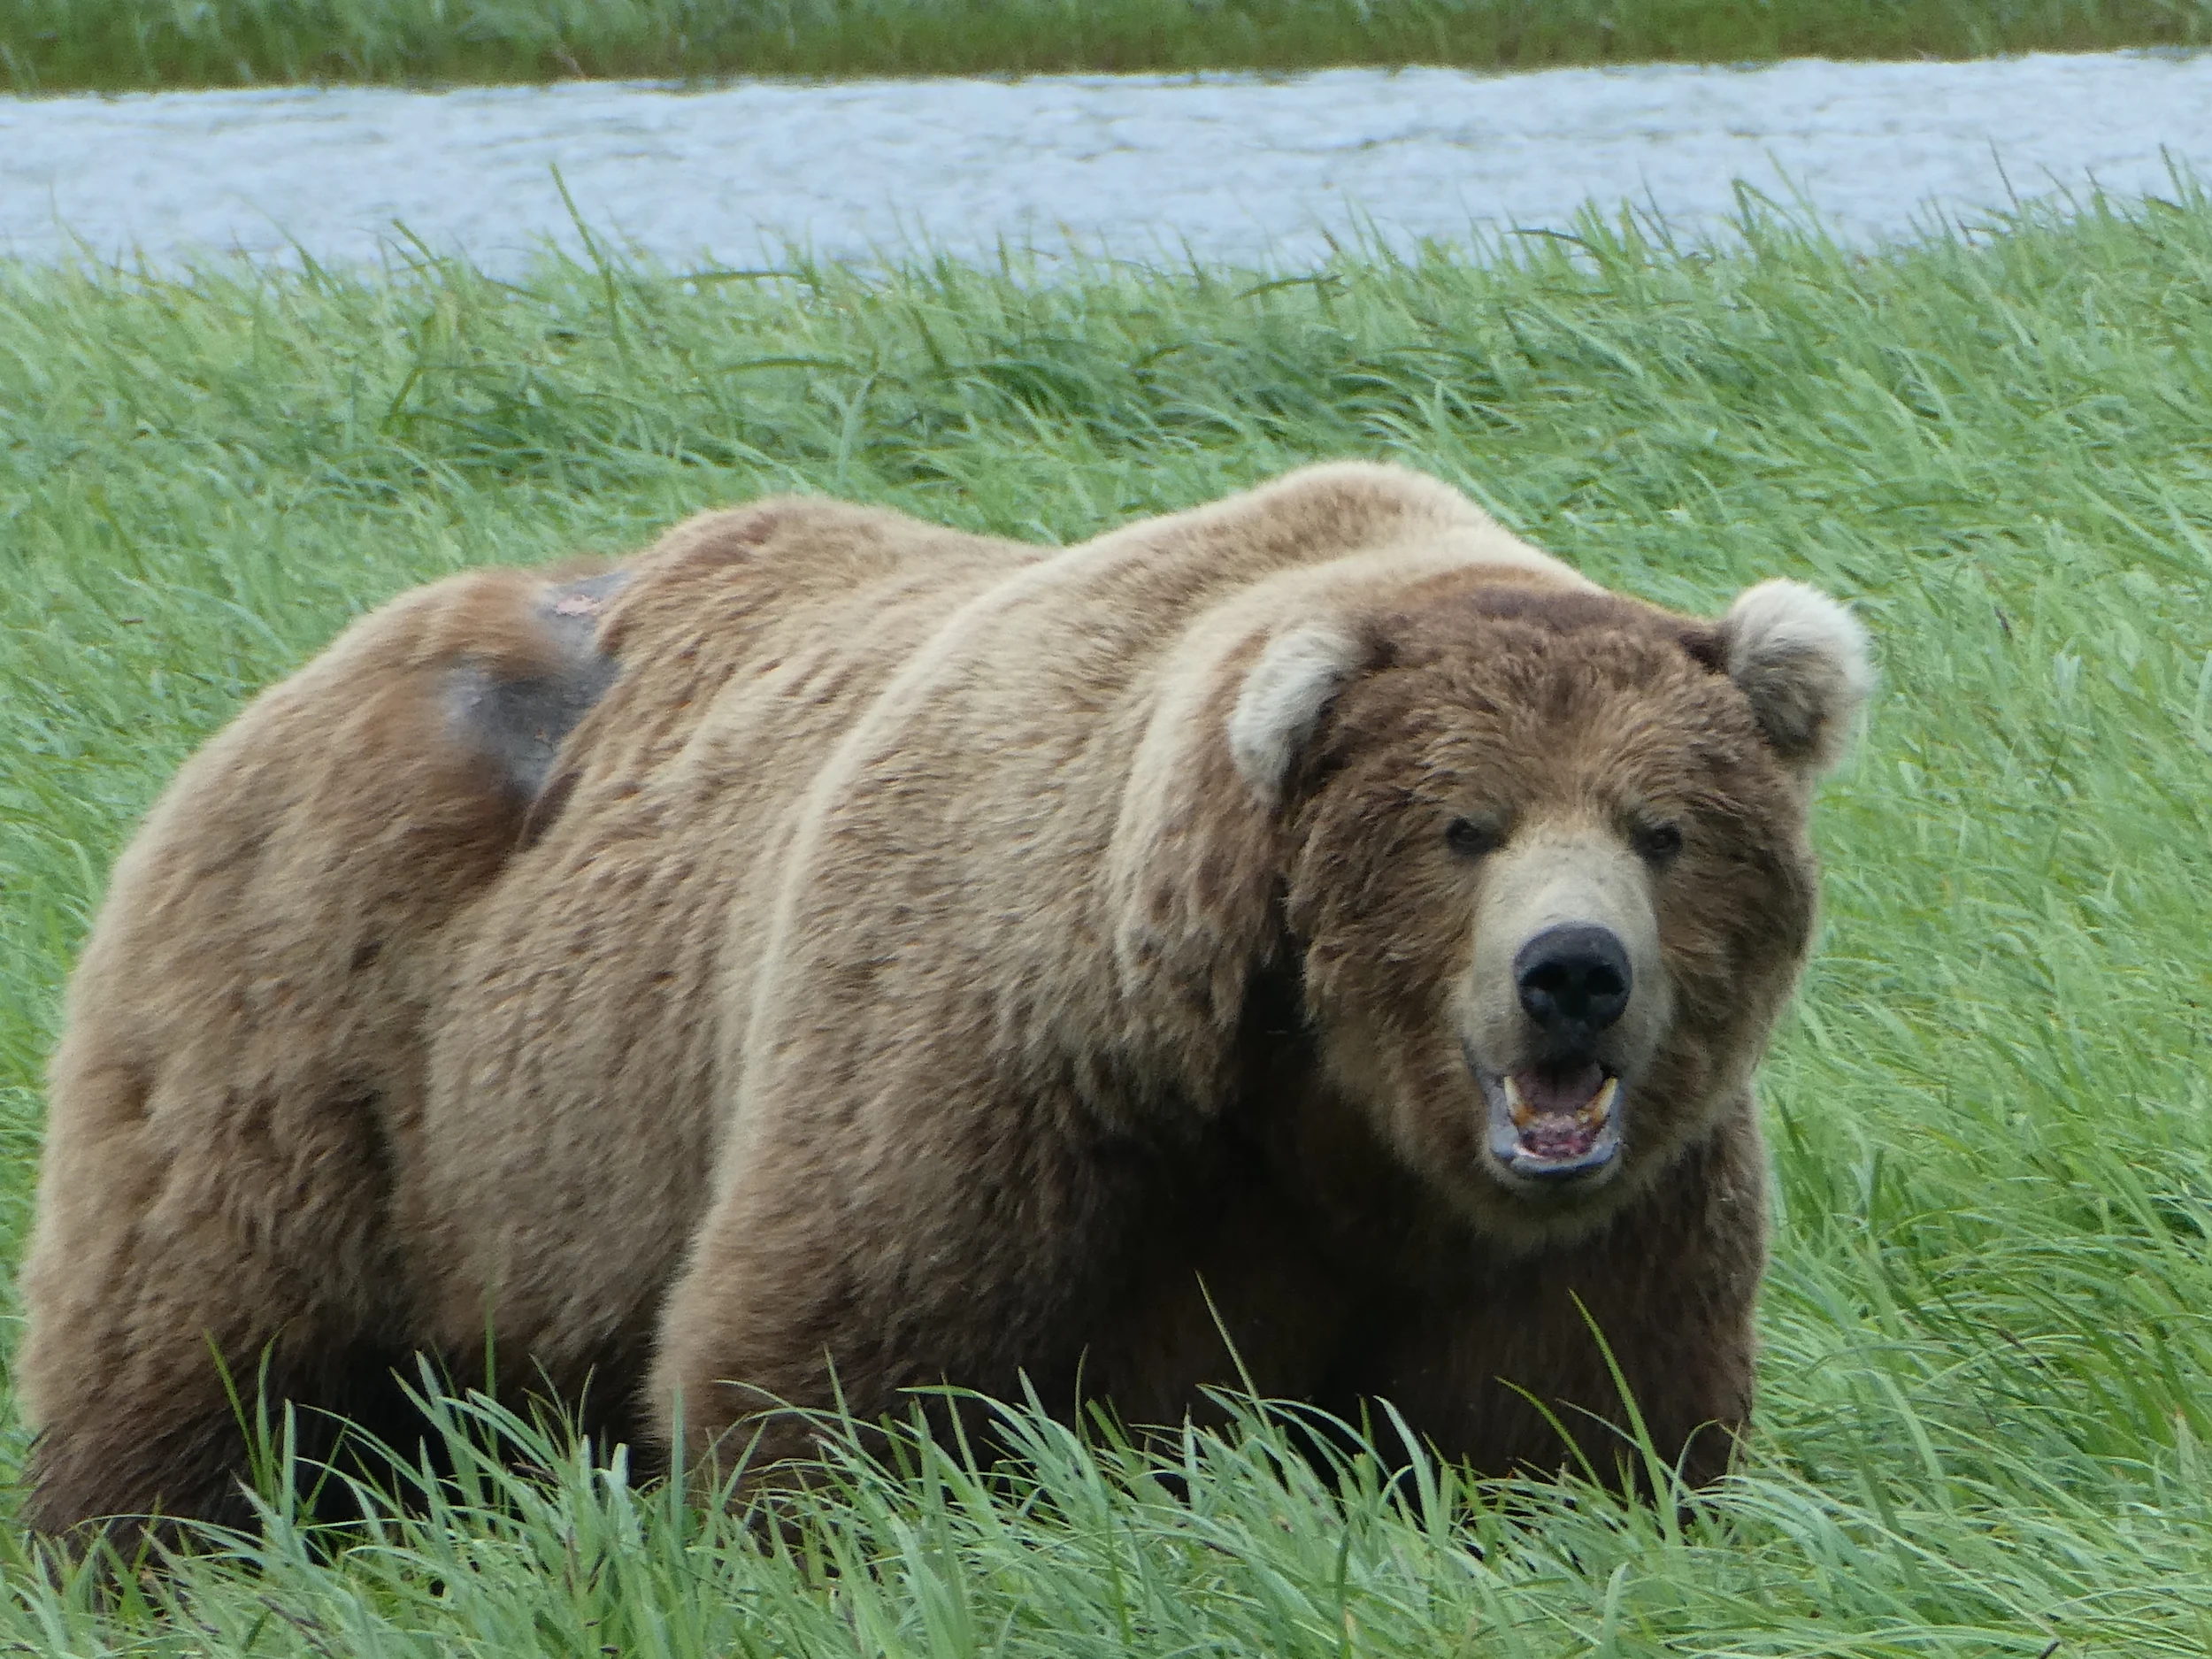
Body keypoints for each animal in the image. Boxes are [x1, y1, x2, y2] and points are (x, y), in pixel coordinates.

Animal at [12, 457, 1867, 1548]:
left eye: (1665, 829)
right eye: (1463, 825)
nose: (1575, 977)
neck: (1316, 1106)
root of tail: (320, 666)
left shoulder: (1586, 1222)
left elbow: (1572, 1425)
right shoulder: (998, 1059)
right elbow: (832, 1379)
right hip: (337, 1048)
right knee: (204, 1359)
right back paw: (144, 1545)